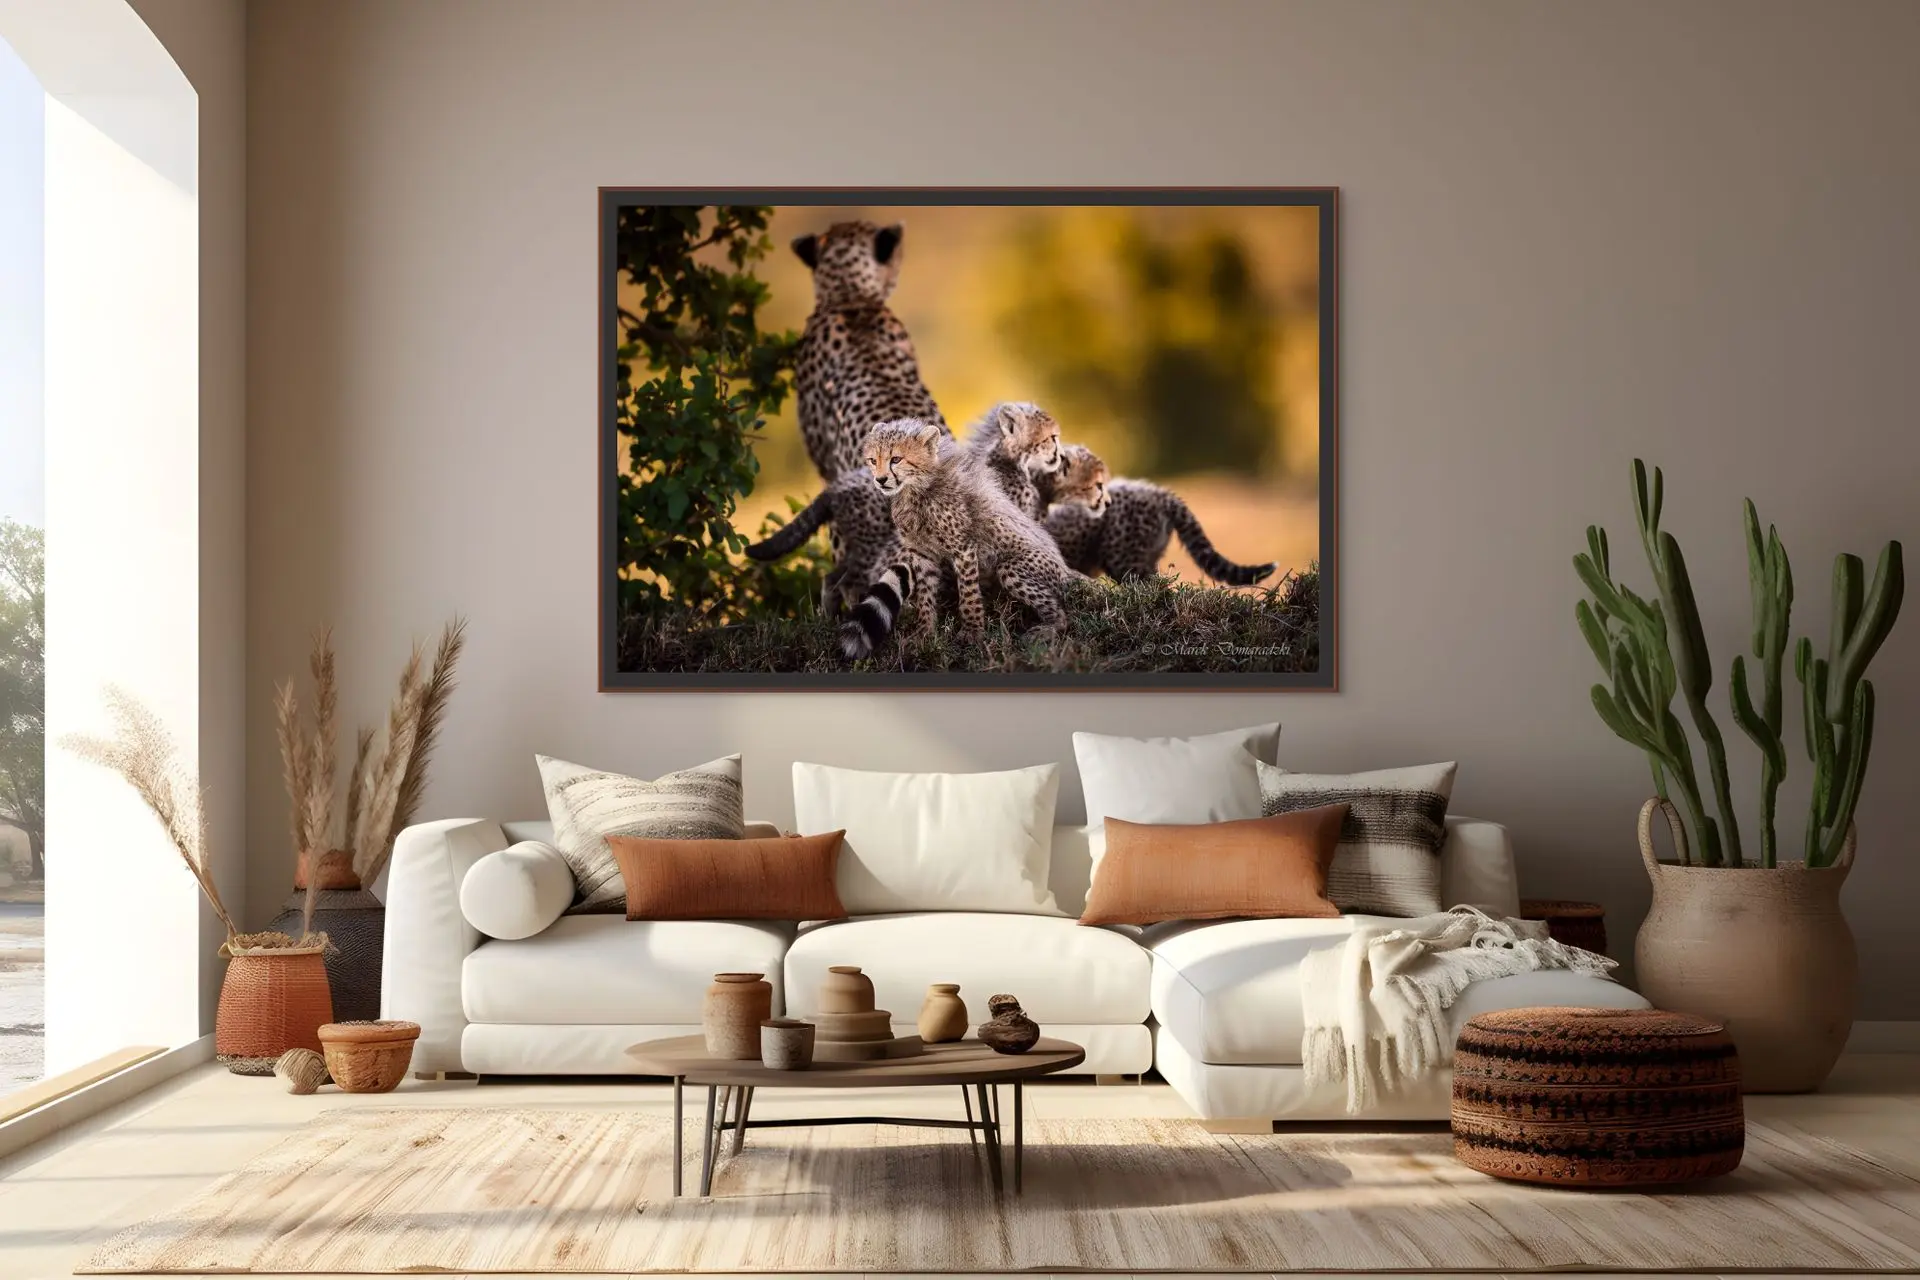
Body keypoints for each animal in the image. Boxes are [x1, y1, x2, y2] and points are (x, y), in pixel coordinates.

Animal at [839, 419, 1076, 660]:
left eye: (896, 459)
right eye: (873, 460)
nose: (880, 480)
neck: (916, 489)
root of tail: (1067, 570)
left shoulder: (963, 549)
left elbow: (968, 594)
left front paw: (972, 632)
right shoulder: (922, 554)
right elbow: (925, 596)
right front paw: (924, 634)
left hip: (1014, 568)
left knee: (1061, 613)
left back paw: (1048, 629)